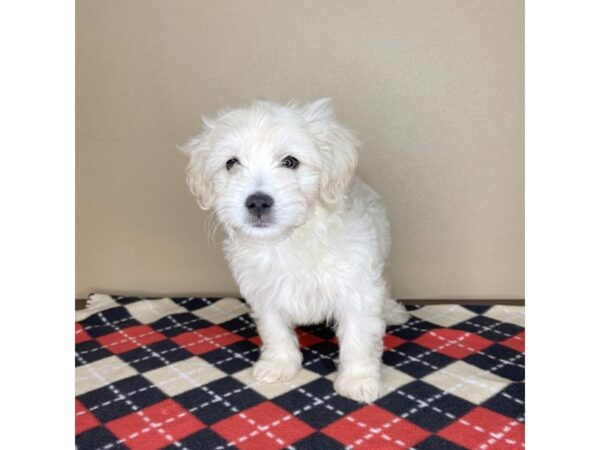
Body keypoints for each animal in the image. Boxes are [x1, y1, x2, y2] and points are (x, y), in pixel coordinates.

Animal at [182, 98, 408, 400]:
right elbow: (275, 330)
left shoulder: (357, 287)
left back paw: (392, 311)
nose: (257, 202)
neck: (290, 240)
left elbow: (359, 336)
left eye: (290, 162)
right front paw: (279, 364)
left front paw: (358, 380)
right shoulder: (263, 291)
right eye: (231, 163)